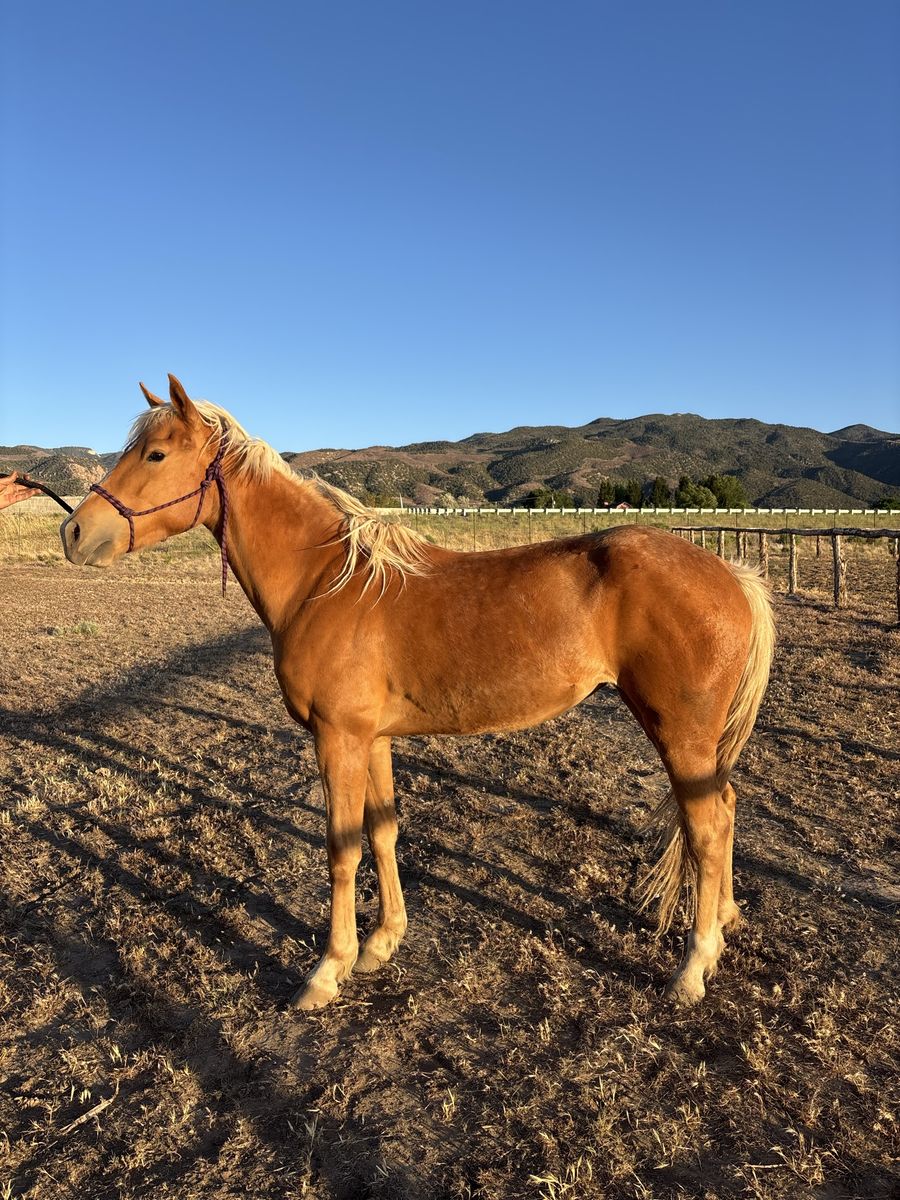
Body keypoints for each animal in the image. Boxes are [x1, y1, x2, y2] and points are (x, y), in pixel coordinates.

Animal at [61, 375, 775, 1010]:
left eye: (156, 455)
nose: (75, 533)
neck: (326, 582)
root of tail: (731, 575)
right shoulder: (371, 739)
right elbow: (382, 833)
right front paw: (383, 942)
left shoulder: (337, 740)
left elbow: (341, 850)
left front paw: (327, 970)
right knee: (724, 810)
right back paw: (722, 927)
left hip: (679, 735)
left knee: (708, 828)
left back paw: (692, 968)